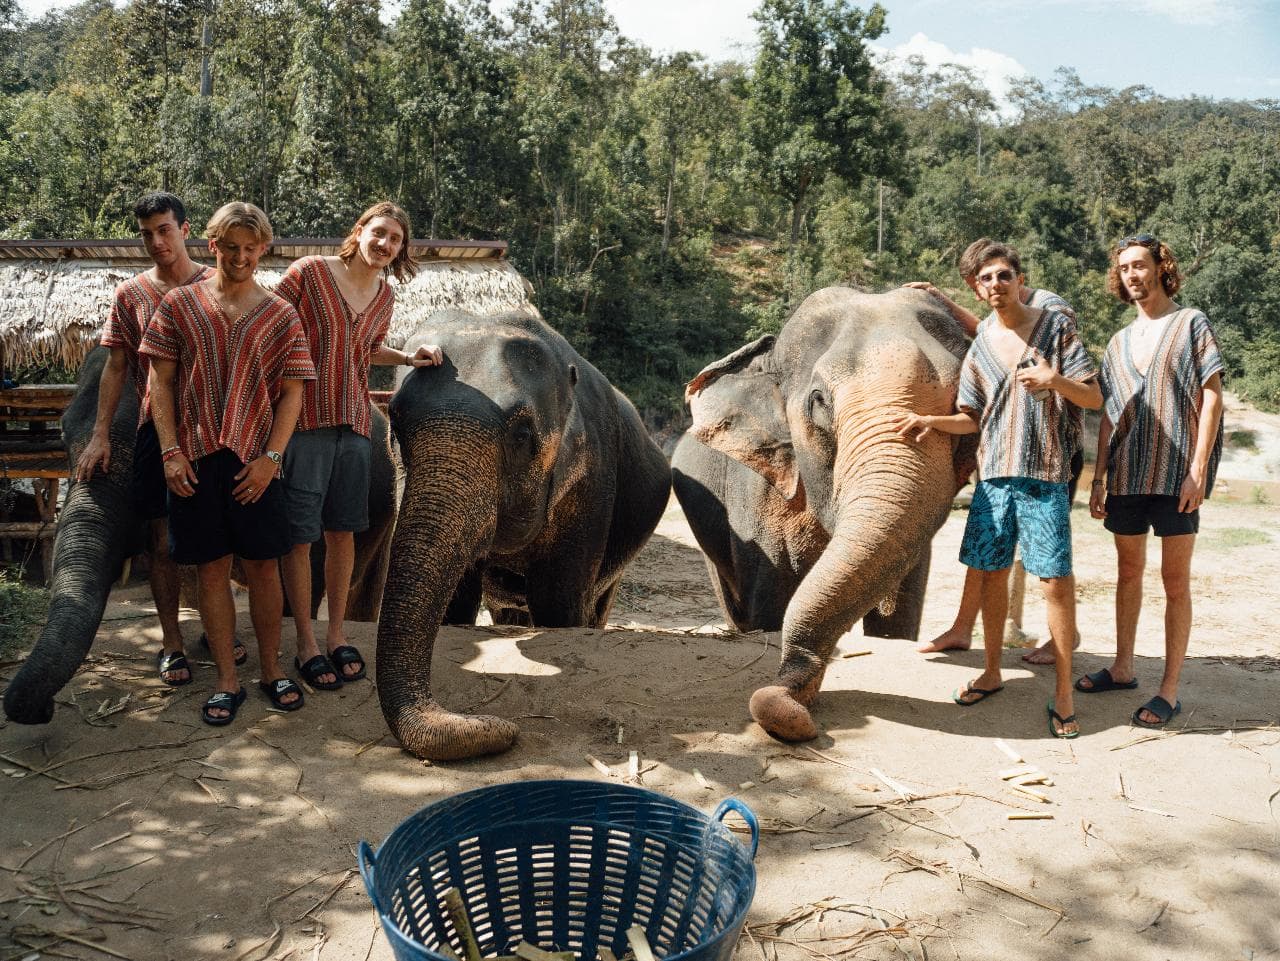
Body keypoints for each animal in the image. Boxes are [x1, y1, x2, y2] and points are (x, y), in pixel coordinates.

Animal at [376, 309, 672, 762]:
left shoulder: (590, 484)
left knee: (596, 604)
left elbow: (558, 601)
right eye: (395, 420)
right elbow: (457, 601)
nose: (505, 729)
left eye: (522, 436)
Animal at [671, 286, 977, 743]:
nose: (789, 700)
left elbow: (898, 612)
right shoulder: (754, 503)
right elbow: (768, 604)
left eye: (965, 405)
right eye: (819, 401)